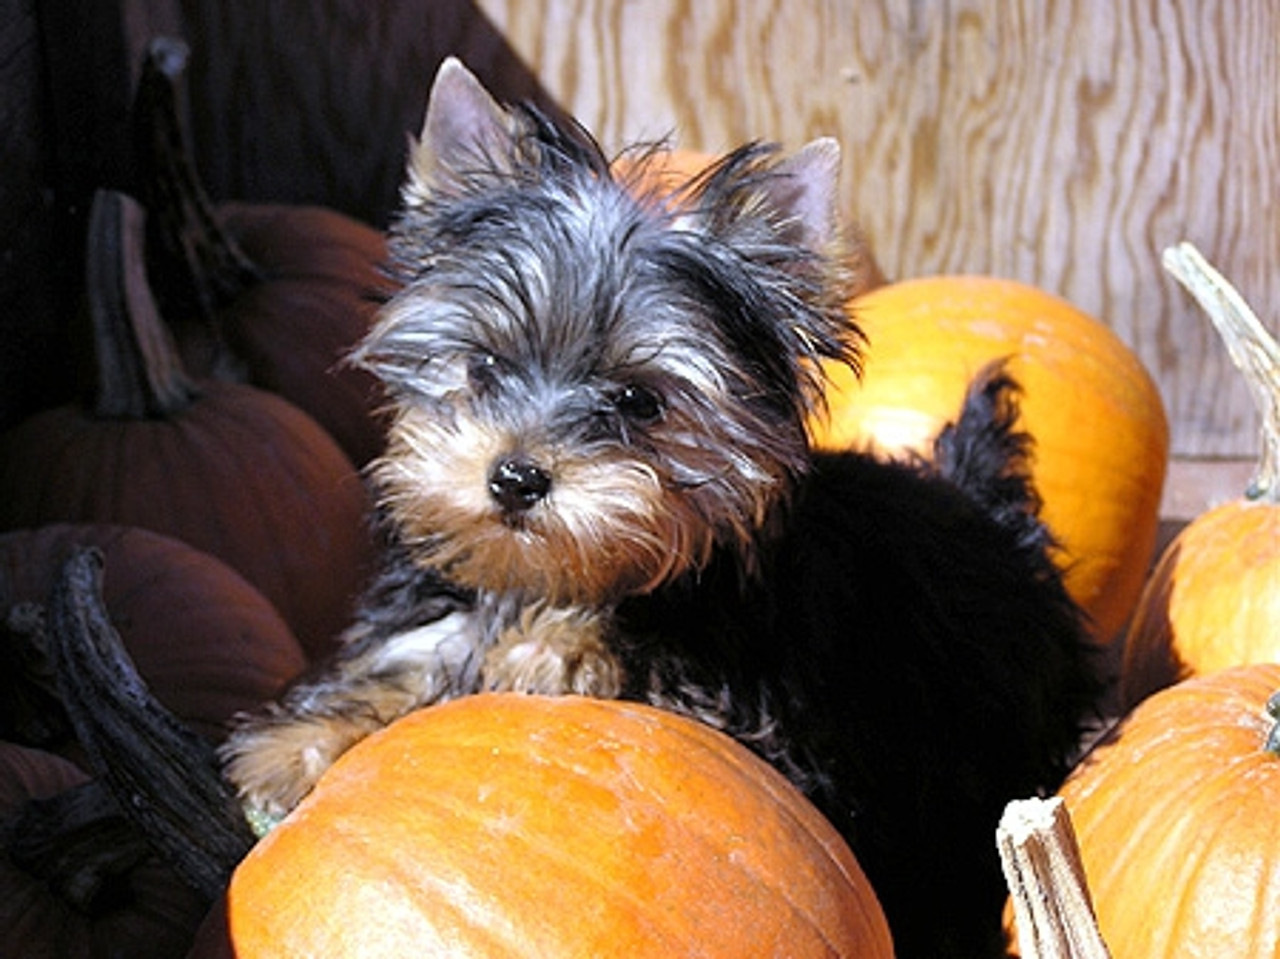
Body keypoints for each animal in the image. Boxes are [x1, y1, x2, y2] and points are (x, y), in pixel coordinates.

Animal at [222, 59, 1100, 957]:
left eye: (639, 401)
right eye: (482, 365)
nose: (515, 476)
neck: (556, 578)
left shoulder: (757, 712)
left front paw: (558, 649)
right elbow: (411, 659)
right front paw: (300, 746)